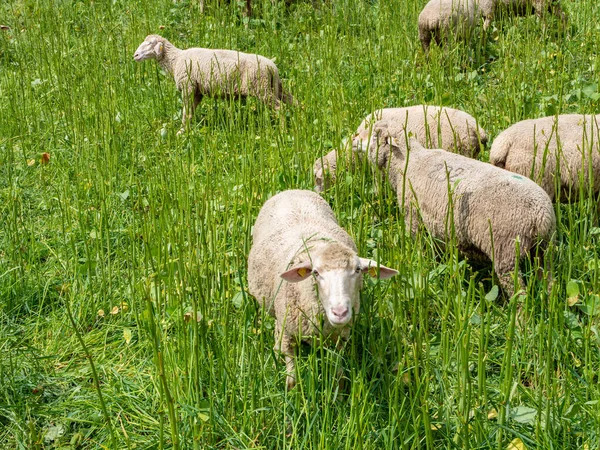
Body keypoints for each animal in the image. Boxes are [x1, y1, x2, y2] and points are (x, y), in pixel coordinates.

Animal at [132, 35, 292, 134]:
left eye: (151, 43)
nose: (135, 55)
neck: (175, 60)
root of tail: (272, 67)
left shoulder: (188, 86)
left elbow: (185, 111)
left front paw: (180, 132)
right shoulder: (197, 91)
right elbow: (190, 112)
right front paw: (187, 129)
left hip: (261, 88)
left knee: (280, 108)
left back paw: (283, 130)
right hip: (274, 86)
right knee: (292, 101)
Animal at [246, 188, 396, 388]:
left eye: (357, 269)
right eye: (315, 273)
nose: (340, 312)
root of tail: (292, 190)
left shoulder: (341, 336)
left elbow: (339, 375)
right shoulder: (287, 333)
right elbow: (291, 378)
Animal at [354, 130, 556, 298]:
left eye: (375, 135)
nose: (354, 140)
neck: (409, 161)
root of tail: (540, 215)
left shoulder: (412, 214)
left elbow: (417, 243)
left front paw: (419, 262)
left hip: (505, 250)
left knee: (518, 292)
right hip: (544, 249)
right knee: (549, 279)